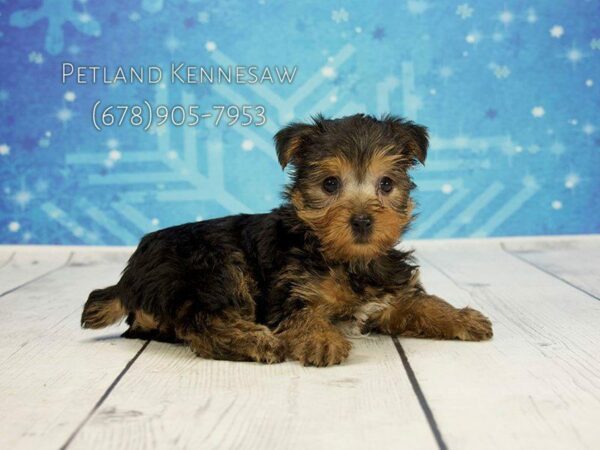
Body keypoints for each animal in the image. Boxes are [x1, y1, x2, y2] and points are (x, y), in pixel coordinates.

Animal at [81, 114, 492, 368]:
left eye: (386, 184)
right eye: (330, 184)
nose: (362, 221)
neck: (345, 258)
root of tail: (127, 278)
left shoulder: (390, 294)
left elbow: (422, 304)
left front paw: (462, 318)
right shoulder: (290, 291)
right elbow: (304, 315)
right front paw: (321, 340)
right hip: (212, 268)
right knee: (205, 324)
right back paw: (260, 343)